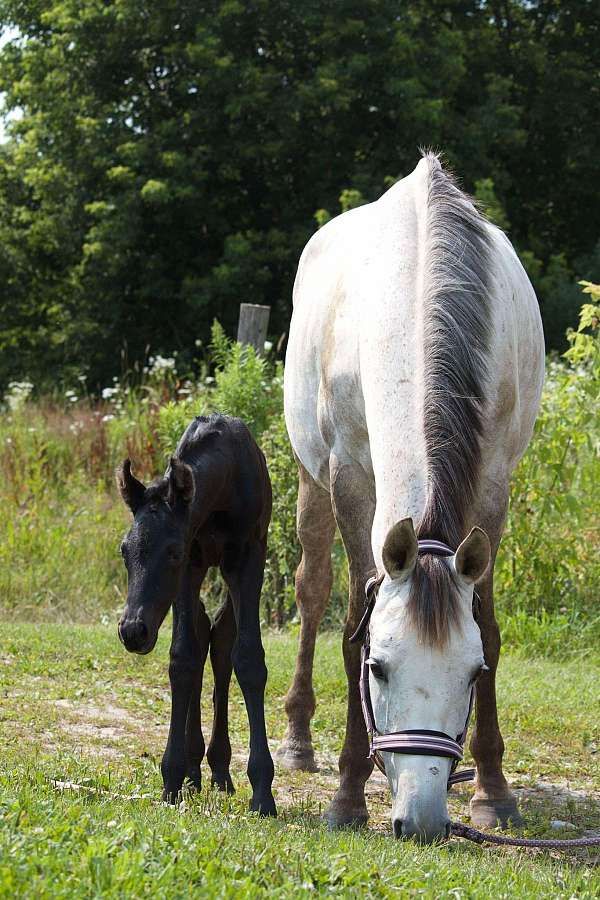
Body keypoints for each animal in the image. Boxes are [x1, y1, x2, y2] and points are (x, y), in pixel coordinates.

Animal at [116, 413, 276, 816]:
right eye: (124, 549)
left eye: (172, 550)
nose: (133, 630)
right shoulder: (193, 564)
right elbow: (183, 657)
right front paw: (171, 776)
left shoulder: (247, 557)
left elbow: (248, 659)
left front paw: (263, 790)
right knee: (203, 634)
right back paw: (194, 768)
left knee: (220, 640)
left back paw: (219, 767)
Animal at [278, 152, 544, 842]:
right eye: (380, 667)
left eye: (472, 674)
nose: (422, 819)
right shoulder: (349, 476)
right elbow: (351, 619)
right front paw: (347, 794)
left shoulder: (495, 483)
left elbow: (489, 625)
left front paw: (493, 791)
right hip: (310, 478)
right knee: (311, 591)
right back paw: (296, 741)